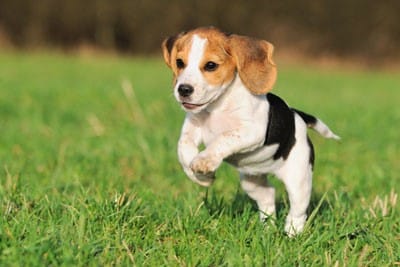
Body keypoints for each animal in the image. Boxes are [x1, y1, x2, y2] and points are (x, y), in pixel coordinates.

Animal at [161, 27, 340, 237]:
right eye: (180, 62)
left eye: (211, 66)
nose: (183, 90)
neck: (217, 106)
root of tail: (297, 115)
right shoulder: (193, 128)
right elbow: (184, 147)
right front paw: (201, 176)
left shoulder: (252, 131)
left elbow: (224, 138)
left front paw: (204, 161)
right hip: (252, 182)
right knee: (268, 196)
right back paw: (267, 228)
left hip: (299, 179)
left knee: (298, 211)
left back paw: (291, 233)